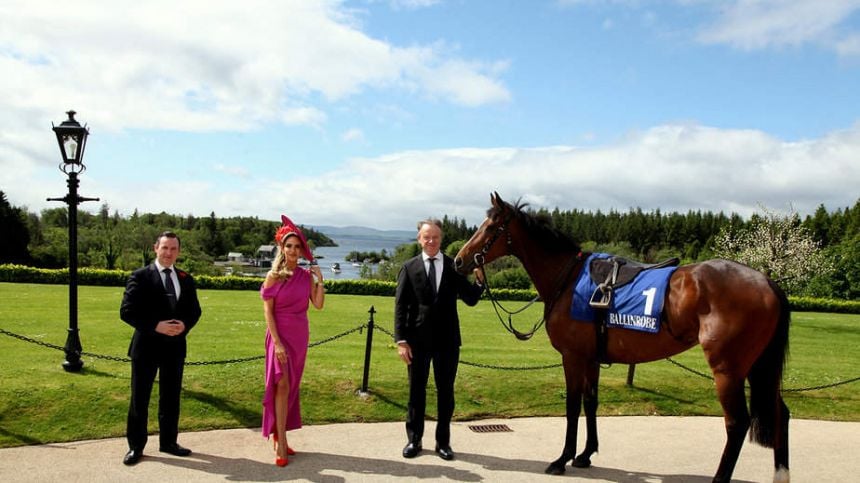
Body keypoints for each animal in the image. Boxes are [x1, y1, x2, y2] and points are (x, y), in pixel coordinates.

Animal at [454, 193, 788, 483]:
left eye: (491, 227)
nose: (459, 260)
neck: (568, 279)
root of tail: (767, 281)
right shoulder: (591, 358)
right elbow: (591, 402)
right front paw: (585, 454)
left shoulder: (572, 356)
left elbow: (572, 405)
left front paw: (562, 458)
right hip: (761, 367)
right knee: (779, 414)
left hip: (728, 370)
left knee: (737, 423)